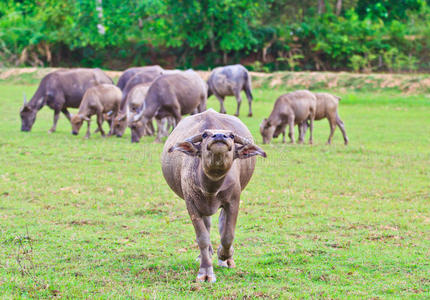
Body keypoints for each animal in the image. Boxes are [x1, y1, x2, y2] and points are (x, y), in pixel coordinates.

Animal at [163, 109, 268, 282]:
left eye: (231, 135)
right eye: (205, 135)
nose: (219, 136)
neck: (211, 186)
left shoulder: (233, 201)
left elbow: (227, 235)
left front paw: (224, 255)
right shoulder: (191, 204)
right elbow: (202, 238)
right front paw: (205, 271)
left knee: (221, 225)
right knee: (207, 227)